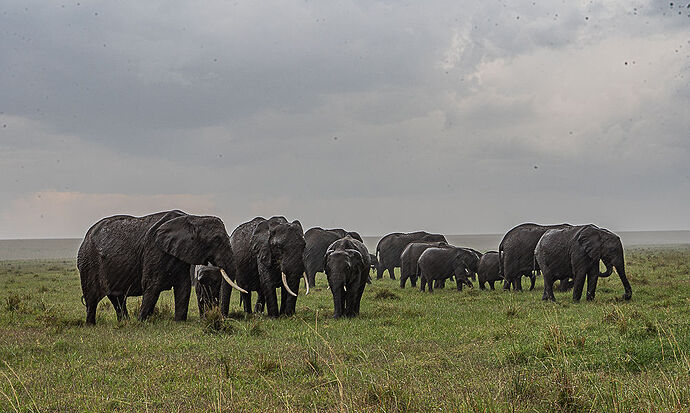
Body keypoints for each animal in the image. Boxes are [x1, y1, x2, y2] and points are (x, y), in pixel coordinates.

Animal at [77, 211, 245, 324]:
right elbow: (152, 285)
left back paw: (124, 322)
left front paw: (179, 321)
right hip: (88, 263)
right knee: (92, 299)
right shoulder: (154, 250)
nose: (222, 318)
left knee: (116, 298)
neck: (193, 218)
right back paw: (91, 325)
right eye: (216, 240)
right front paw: (141, 322)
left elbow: (183, 287)